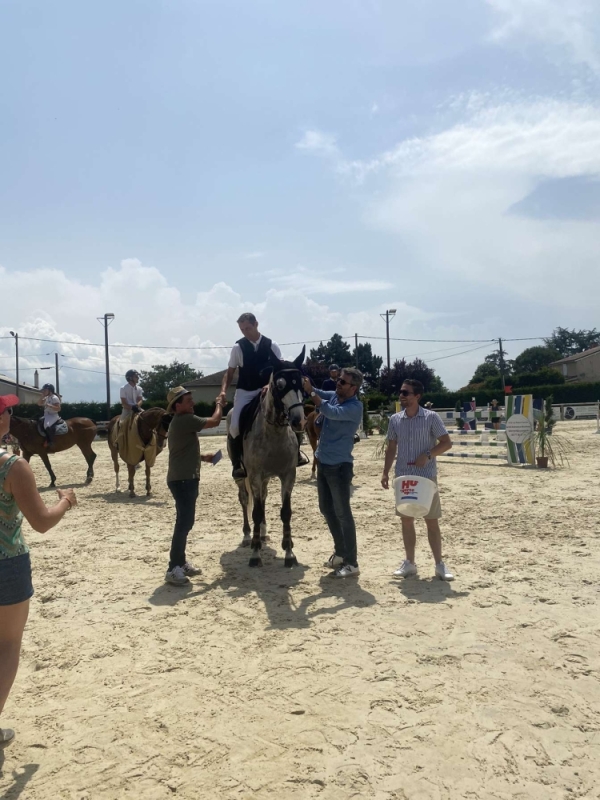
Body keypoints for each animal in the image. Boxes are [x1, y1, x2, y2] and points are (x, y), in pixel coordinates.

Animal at [227, 346, 308, 564]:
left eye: (302, 384)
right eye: (279, 385)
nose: (298, 421)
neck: (274, 433)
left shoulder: (288, 475)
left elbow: (285, 512)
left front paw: (289, 552)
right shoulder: (254, 475)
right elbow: (255, 512)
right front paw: (255, 554)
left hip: (265, 479)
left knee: (262, 498)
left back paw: (262, 533)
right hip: (243, 477)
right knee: (245, 499)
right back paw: (248, 536)